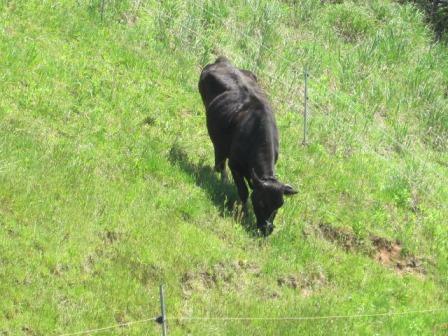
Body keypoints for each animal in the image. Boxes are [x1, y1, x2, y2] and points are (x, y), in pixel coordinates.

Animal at [199, 56, 298, 235]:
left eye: (280, 205)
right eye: (262, 202)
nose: (267, 229)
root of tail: (223, 61)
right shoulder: (235, 166)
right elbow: (244, 192)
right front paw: (242, 212)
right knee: (219, 155)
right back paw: (221, 176)